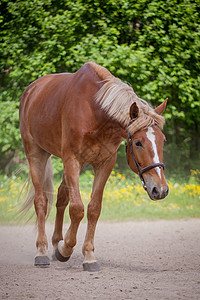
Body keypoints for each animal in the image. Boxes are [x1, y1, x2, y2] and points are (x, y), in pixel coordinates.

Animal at [19, 61, 169, 272]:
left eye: (162, 140)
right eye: (138, 142)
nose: (160, 189)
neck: (95, 111)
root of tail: (31, 90)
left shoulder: (105, 164)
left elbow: (93, 209)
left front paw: (88, 256)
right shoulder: (72, 160)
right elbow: (77, 209)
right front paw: (66, 249)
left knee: (61, 198)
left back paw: (56, 242)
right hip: (36, 154)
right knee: (41, 201)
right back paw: (42, 251)